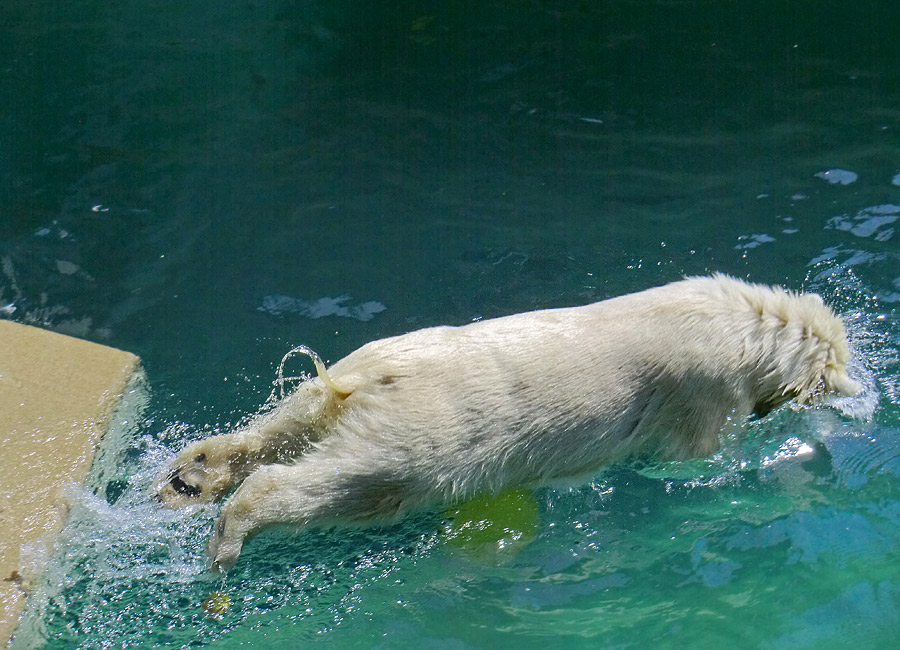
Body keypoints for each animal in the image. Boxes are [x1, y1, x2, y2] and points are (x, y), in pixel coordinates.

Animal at [158, 272, 860, 568]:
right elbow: (694, 455)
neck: (750, 324)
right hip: (427, 436)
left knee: (286, 425)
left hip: (351, 376)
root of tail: (374, 378)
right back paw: (228, 539)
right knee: (353, 480)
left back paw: (191, 475)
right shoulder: (704, 391)